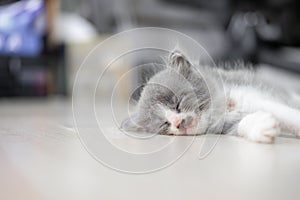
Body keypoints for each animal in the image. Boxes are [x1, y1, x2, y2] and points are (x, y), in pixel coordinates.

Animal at [120, 50, 298, 144]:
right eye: (164, 124)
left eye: (177, 104)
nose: (177, 123)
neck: (223, 108)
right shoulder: (224, 126)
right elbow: (240, 125)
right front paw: (261, 125)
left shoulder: (248, 94)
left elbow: (283, 112)